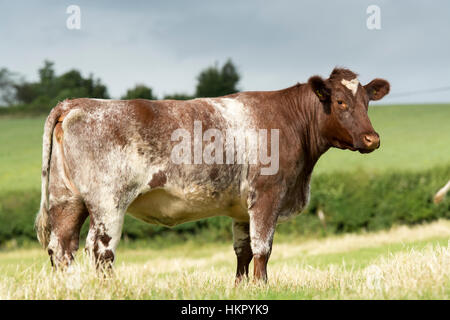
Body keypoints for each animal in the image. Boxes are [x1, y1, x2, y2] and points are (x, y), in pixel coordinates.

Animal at [35, 68, 390, 282]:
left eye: (367, 101)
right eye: (340, 102)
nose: (372, 139)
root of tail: (74, 102)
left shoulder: (241, 207)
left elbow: (243, 250)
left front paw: (242, 287)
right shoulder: (268, 194)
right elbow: (263, 248)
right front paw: (262, 286)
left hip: (67, 200)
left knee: (61, 248)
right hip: (108, 202)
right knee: (100, 250)